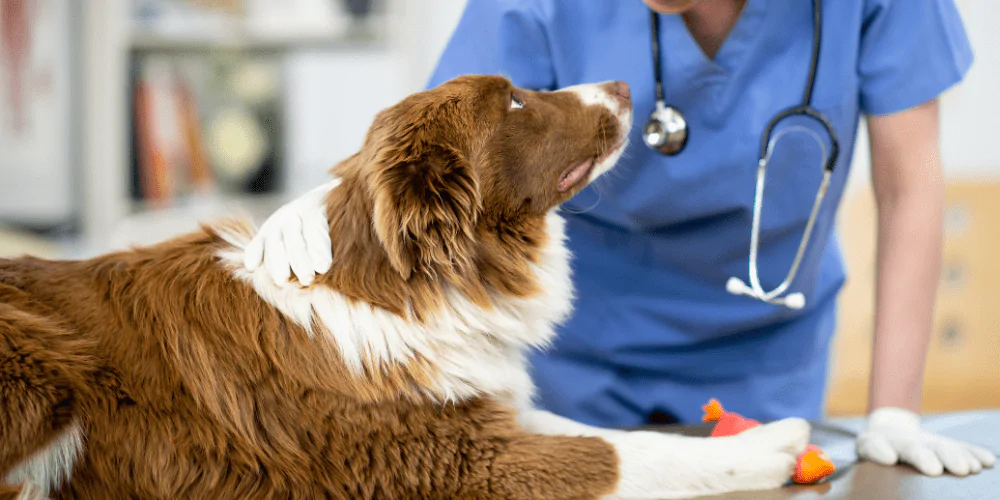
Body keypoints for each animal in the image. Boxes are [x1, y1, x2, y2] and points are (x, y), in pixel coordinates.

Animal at [0, 75, 808, 500]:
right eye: (515, 103)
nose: (622, 84)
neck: (409, 287)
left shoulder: (473, 410)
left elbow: (610, 433)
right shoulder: (446, 462)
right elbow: (617, 458)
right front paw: (769, 444)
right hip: (42, 369)